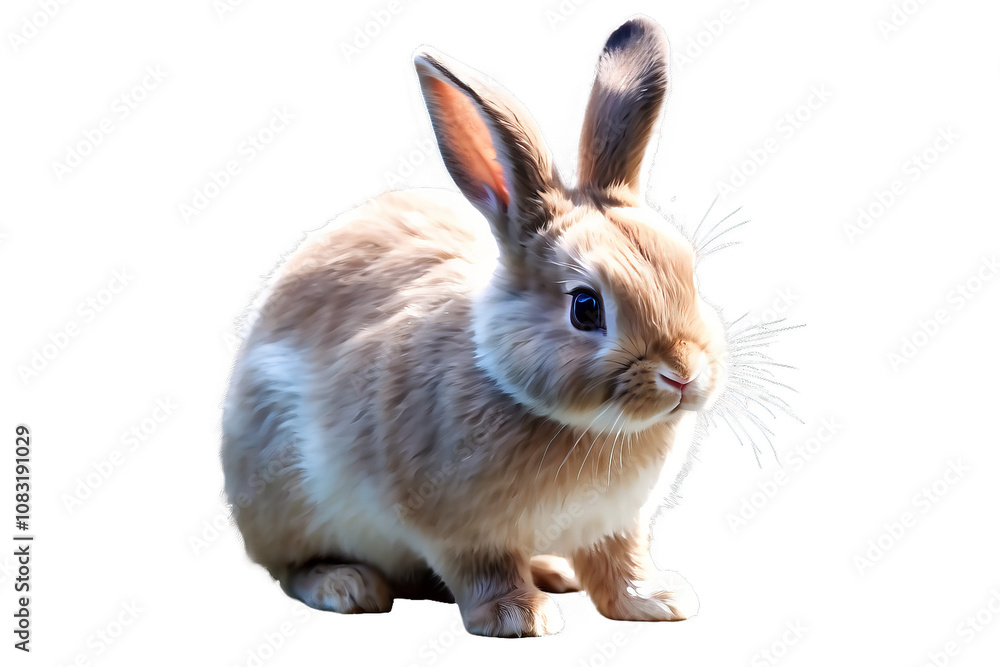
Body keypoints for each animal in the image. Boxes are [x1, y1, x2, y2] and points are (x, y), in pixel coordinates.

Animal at [221, 15, 727, 637]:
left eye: (690, 274)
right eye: (586, 308)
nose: (682, 374)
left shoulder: (616, 525)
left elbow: (620, 563)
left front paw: (658, 602)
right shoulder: (459, 532)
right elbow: (485, 569)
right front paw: (520, 618)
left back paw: (555, 571)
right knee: (291, 567)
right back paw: (346, 586)